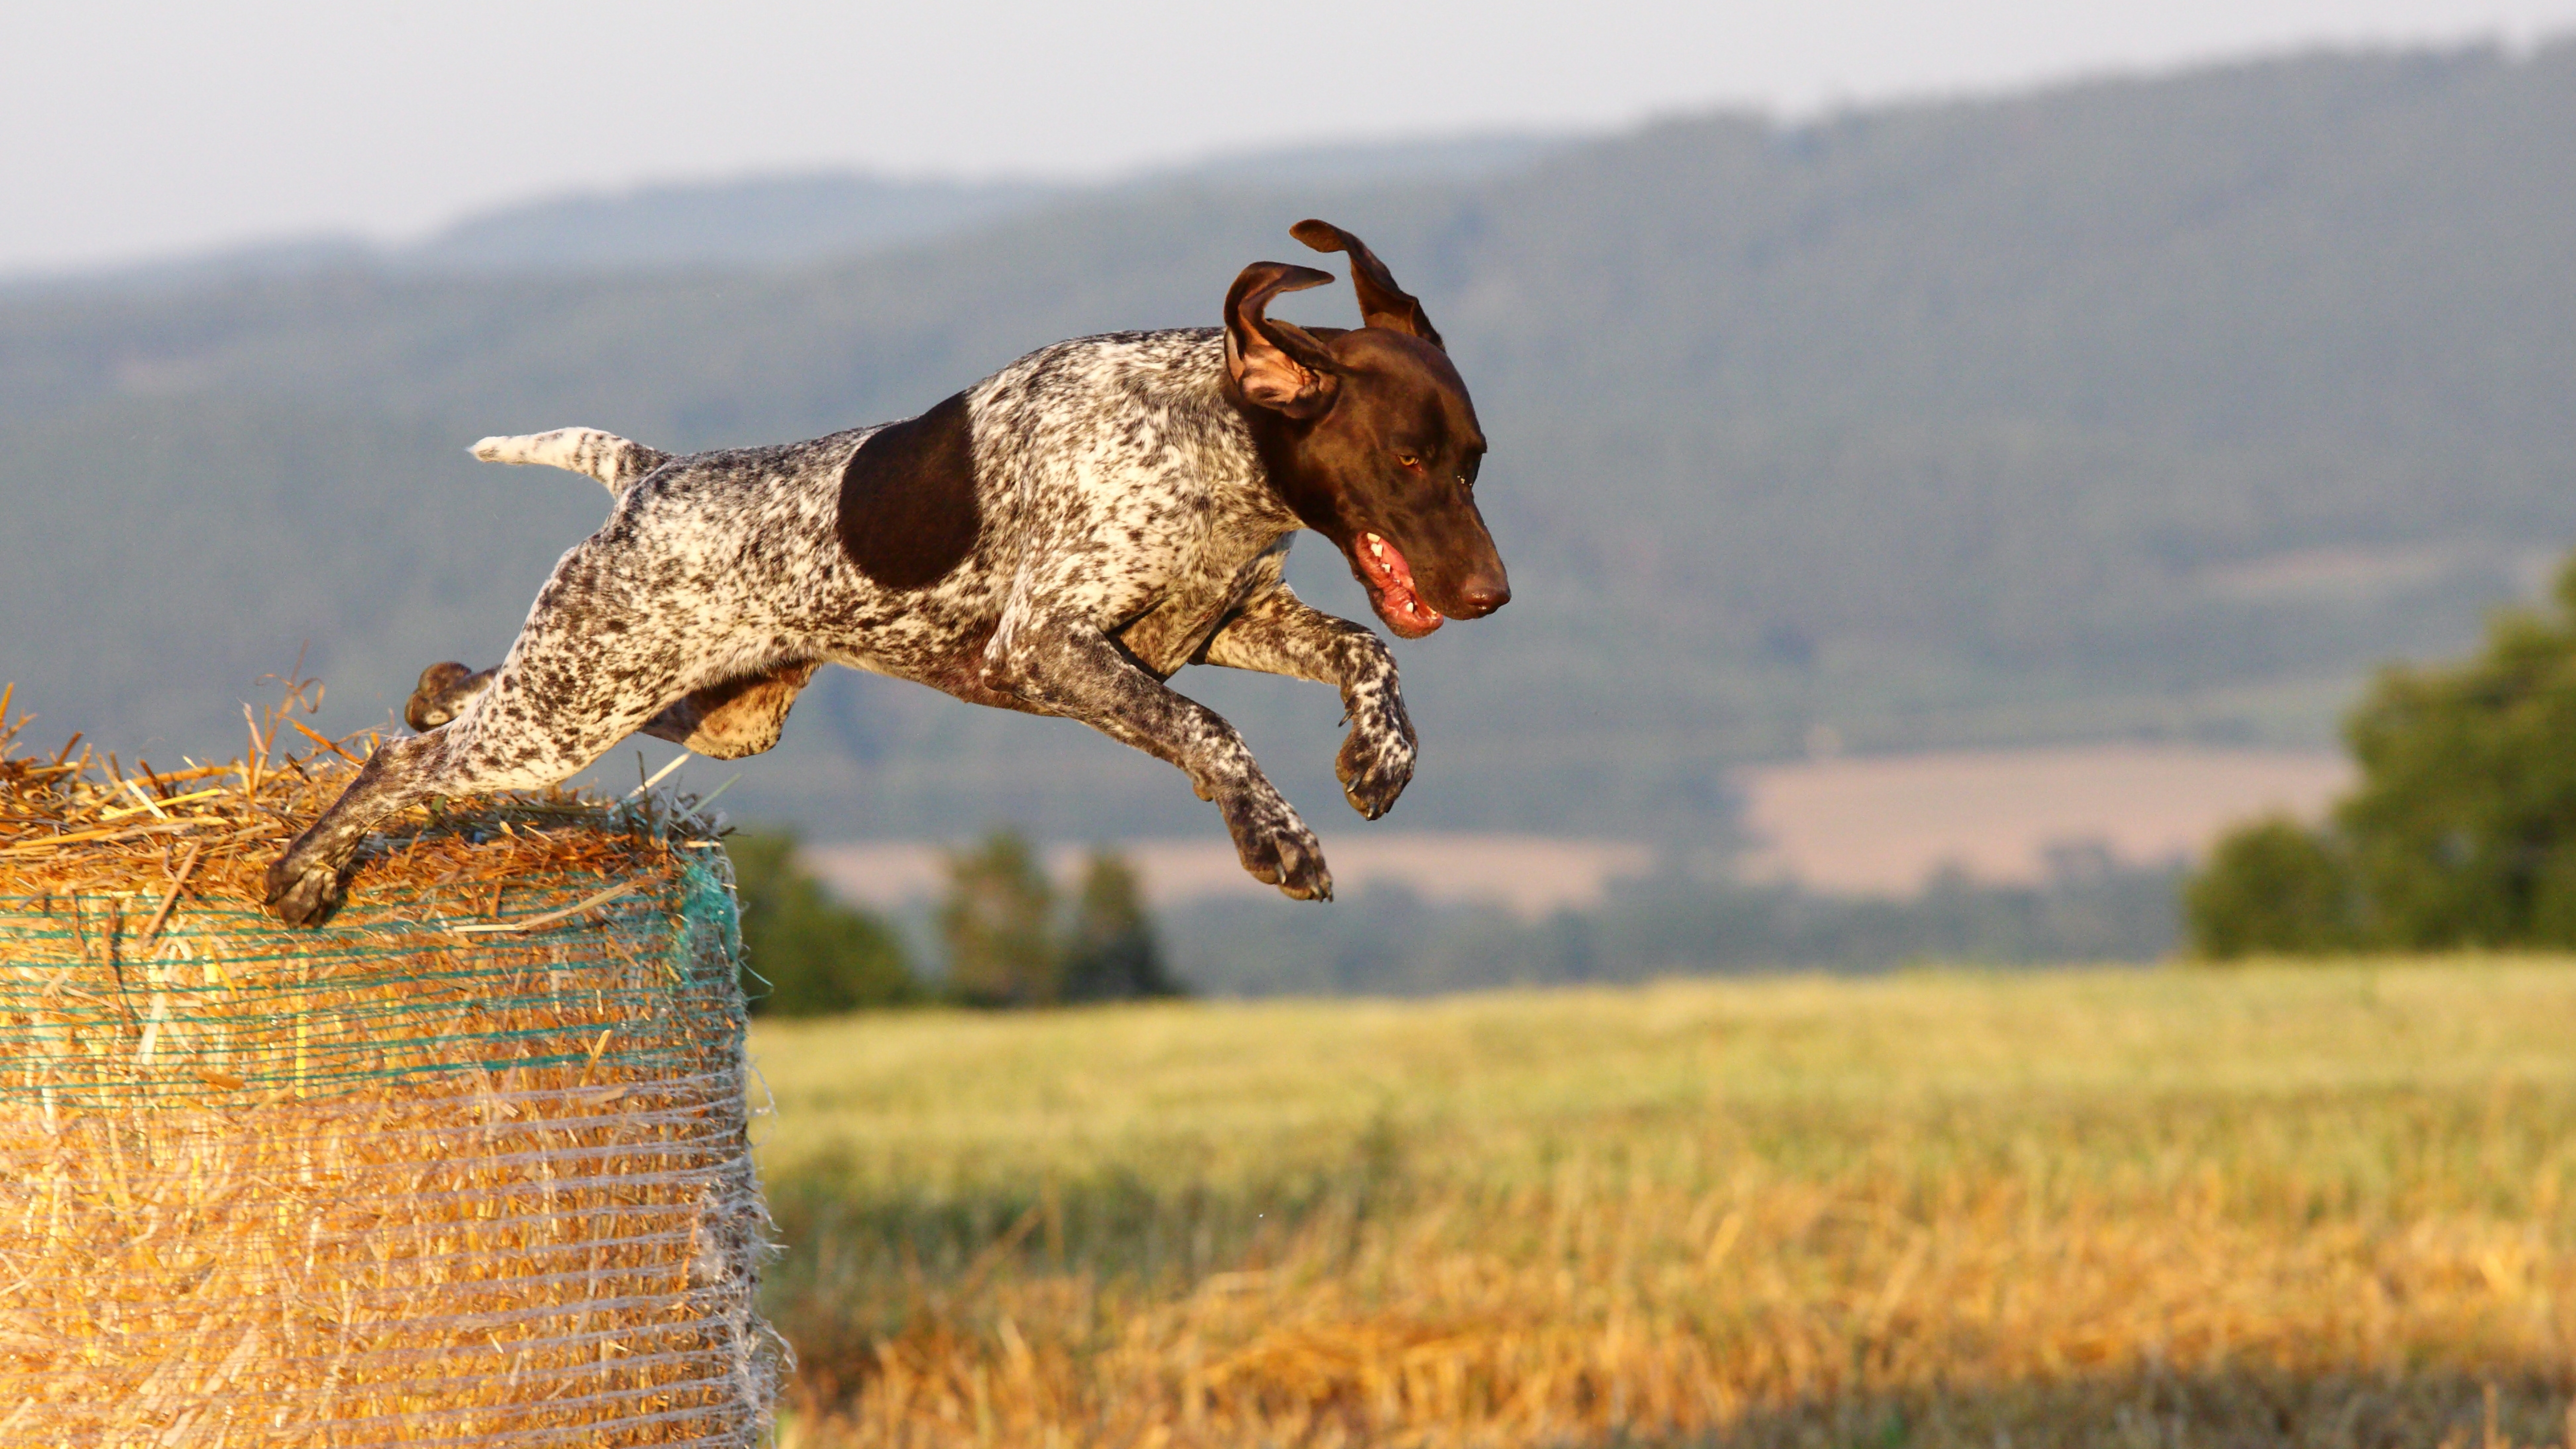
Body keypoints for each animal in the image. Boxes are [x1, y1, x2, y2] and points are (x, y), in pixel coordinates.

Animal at [256, 223, 1504, 923]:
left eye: (1475, 459)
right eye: (1406, 460)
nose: (1492, 596)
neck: (1210, 437)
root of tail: (649, 474)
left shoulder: (1216, 624)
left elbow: (1366, 649)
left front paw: (1382, 754)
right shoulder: (1049, 646)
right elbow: (1210, 729)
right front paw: (1276, 835)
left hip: (701, 707)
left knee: (455, 700)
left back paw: (429, 694)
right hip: (572, 710)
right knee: (400, 763)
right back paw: (306, 869)